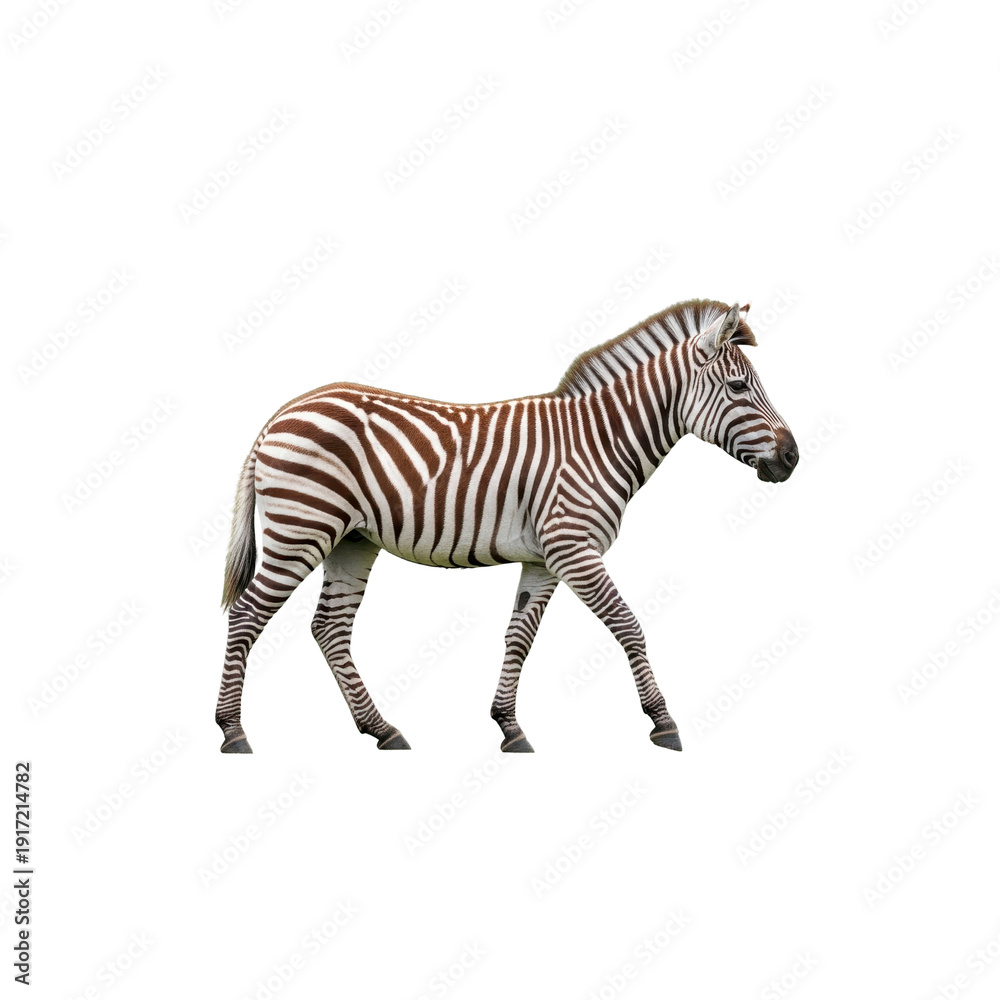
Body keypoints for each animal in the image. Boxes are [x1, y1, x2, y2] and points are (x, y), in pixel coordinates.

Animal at [216, 298, 798, 754]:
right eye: (739, 387)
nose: (792, 458)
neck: (600, 441)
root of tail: (281, 412)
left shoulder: (544, 559)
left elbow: (519, 637)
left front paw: (509, 727)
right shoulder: (573, 547)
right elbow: (628, 624)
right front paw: (663, 721)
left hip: (352, 540)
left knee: (330, 628)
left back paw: (381, 729)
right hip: (302, 529)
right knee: (246, 615)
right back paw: (233, 732)